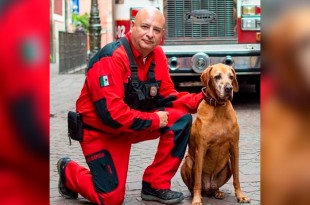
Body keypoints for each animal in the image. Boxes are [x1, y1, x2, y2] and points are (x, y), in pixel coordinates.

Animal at [180, 63, 251, 204]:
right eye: (217, 77)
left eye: (231, 76)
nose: (229, 88)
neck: (219, 108)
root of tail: (209, 188)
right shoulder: (201, 148)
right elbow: (197, 180)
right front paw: (197, 199)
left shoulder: (234, 146)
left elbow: (237, 176)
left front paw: (240, 195)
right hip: (188, 161)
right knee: (193, 185)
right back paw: (197, 195)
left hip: (227, 165)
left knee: (216, 187)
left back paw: (217, 192)